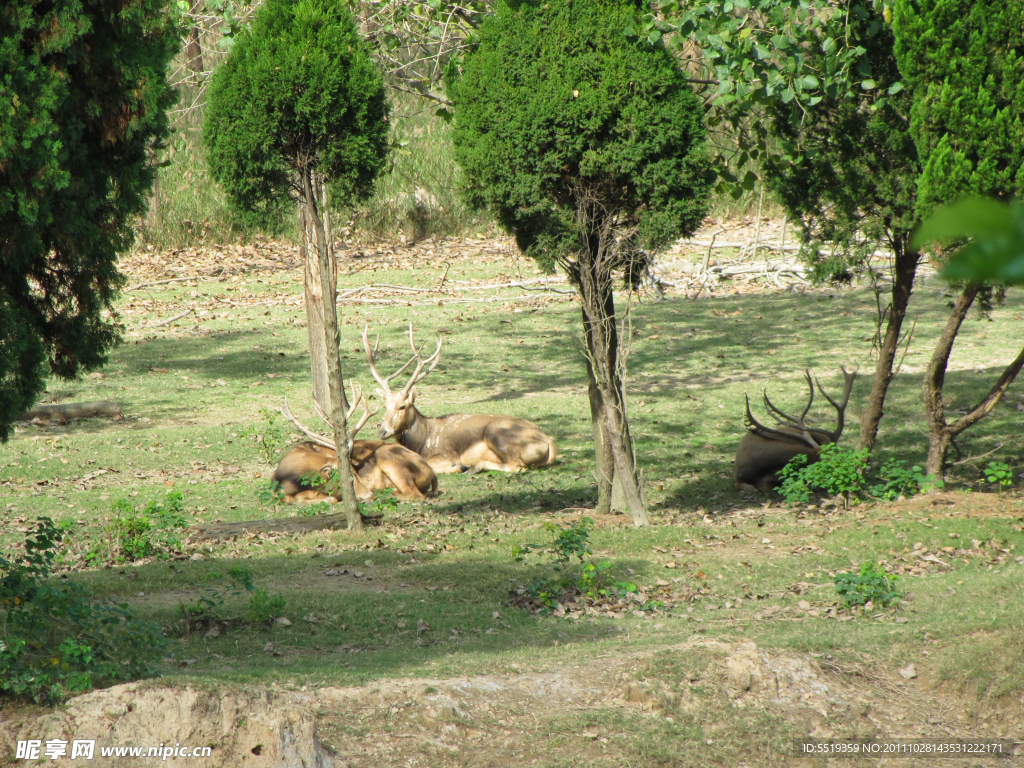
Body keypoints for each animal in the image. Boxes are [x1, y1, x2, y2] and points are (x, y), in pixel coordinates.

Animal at [272, 385, 436, 505]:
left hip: (389, 457)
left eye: (355, 472)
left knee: (415, 493)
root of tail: (432, 472)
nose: (367, 494)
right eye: (346, 476)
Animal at [362, 321, 557, 473]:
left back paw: (473, 466)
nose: (383, 431)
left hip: (498, 433)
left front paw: (458, 466)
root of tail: (549, 442)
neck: (421, 441)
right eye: (385, 406)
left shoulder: (445, 454)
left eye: (402, 406)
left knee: (516, 465)